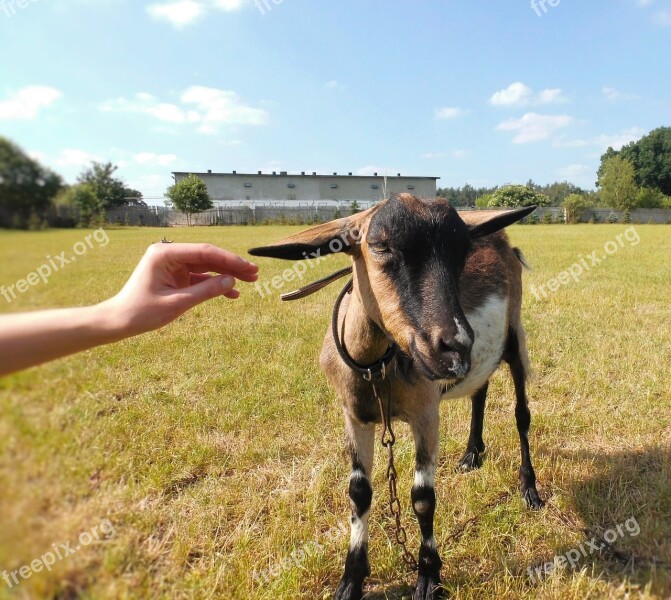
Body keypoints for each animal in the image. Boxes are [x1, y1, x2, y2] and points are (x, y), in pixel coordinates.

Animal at [249, 196, 544, 600]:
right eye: (380, 246)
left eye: (462, 251)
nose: (454, 347)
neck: (376, 368)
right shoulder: (354, 415)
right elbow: (358, 491)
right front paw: (351, 580)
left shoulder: (426, 413)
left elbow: (422, 497)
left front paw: (429, 576)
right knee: (480, 390)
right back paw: (471, 454)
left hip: (515, 336)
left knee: (521, 413)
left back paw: (530, 489)